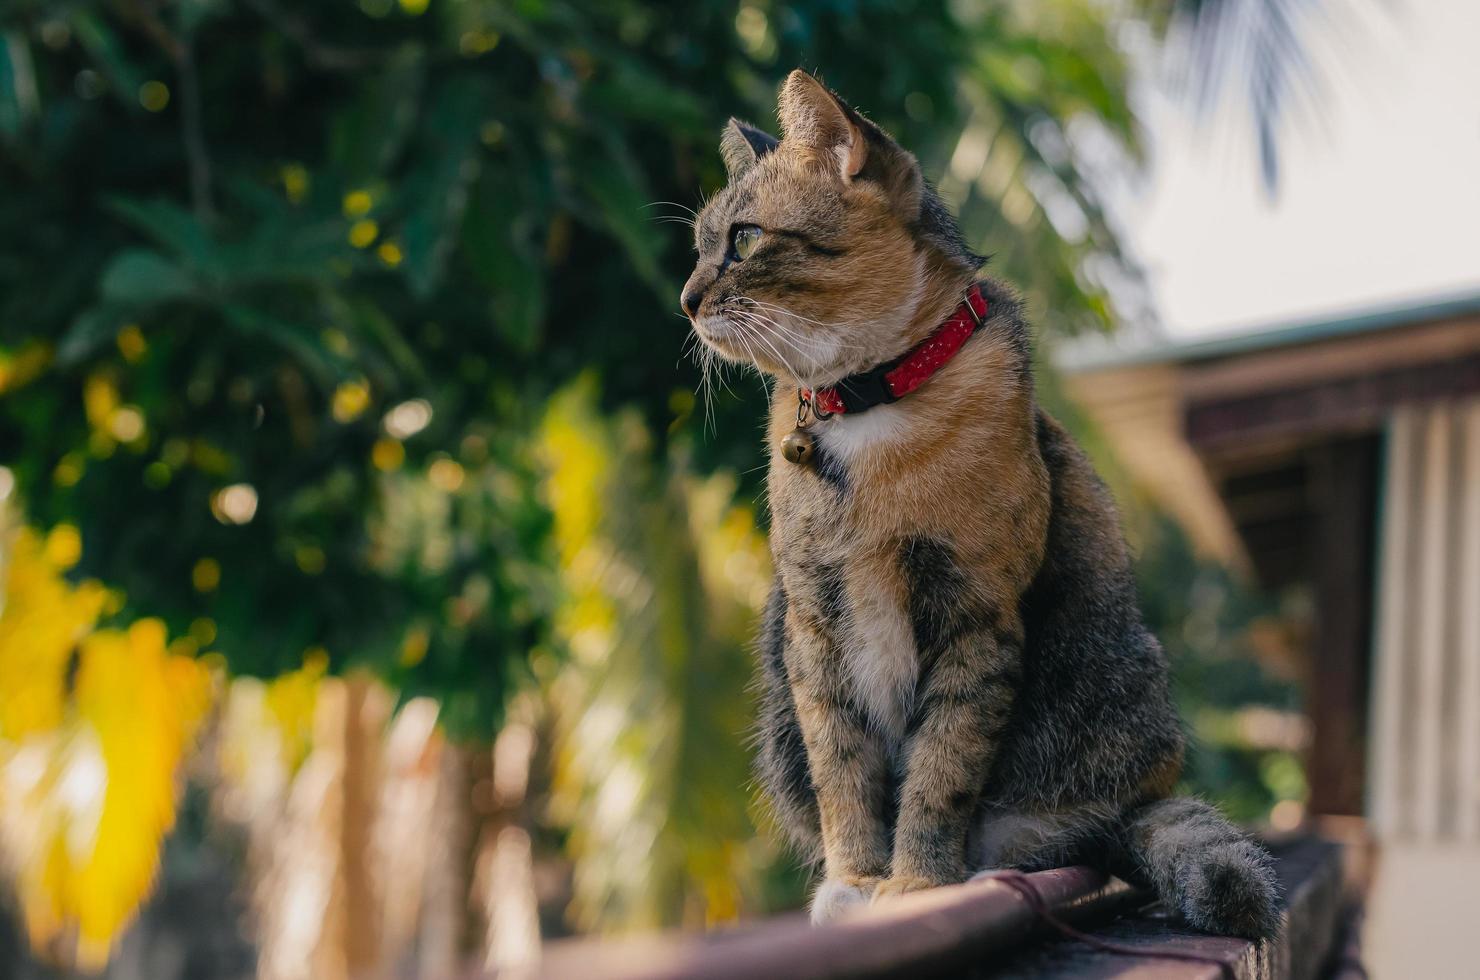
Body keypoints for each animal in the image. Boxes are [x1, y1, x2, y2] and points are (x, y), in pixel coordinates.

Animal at [683, 72, 1284, 941]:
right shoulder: (814, 626)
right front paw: (856, 880)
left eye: (745, 238)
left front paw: (915, 885)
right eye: (699, 244)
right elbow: (844, 770)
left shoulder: (976, 618)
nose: (687, 298)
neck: (871, 408)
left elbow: (941, 770)